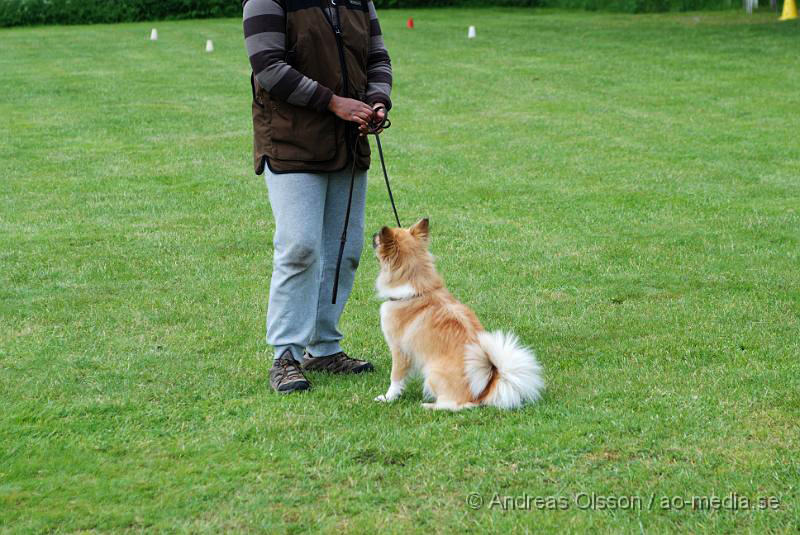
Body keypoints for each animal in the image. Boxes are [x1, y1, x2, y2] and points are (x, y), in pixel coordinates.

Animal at [374, 220, 544, 412]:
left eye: (379, 239)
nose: (373, 235)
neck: (417, 291)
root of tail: (483, 392)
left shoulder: (399, 350)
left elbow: (395, 378)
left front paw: (387, 398)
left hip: (432, 373)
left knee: (454, 405)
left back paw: (428, 405)